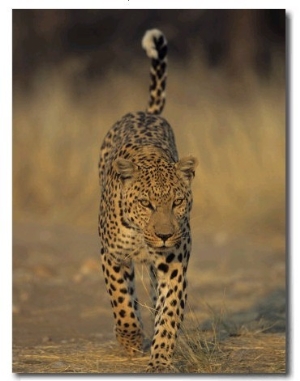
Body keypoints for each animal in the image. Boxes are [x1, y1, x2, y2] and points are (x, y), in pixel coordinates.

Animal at [97, 29, 198, 372]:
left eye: (177, 202)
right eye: (146, 204)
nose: (164, 235)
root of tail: (146, 113)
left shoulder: (173, 265)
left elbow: (169, 314)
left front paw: (161, 359)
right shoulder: (111, 255)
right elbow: (120, 299)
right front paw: (130, 338)